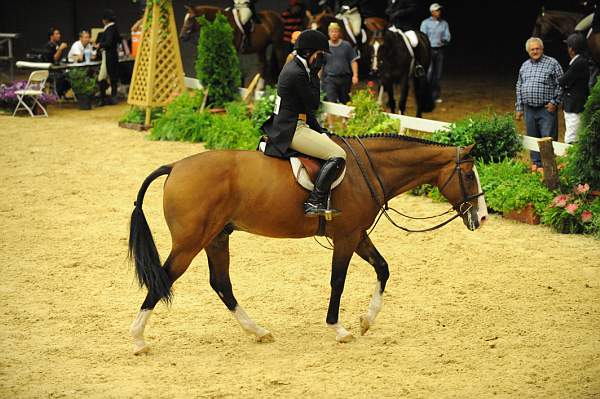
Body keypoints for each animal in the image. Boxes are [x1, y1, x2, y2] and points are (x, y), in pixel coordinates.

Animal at [126, 135, 488, 356]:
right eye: (469, 176)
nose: (483, 217)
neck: (366, 170)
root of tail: (175, 166)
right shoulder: (346, 238)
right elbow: (338, 281)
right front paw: (339, 329)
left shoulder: (357, 234)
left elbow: (383, 268)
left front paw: (367, 320)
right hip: (190, 243)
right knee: (163, 280)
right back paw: (138, 339)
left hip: (216, 238)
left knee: (221, 284)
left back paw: (258, 331)